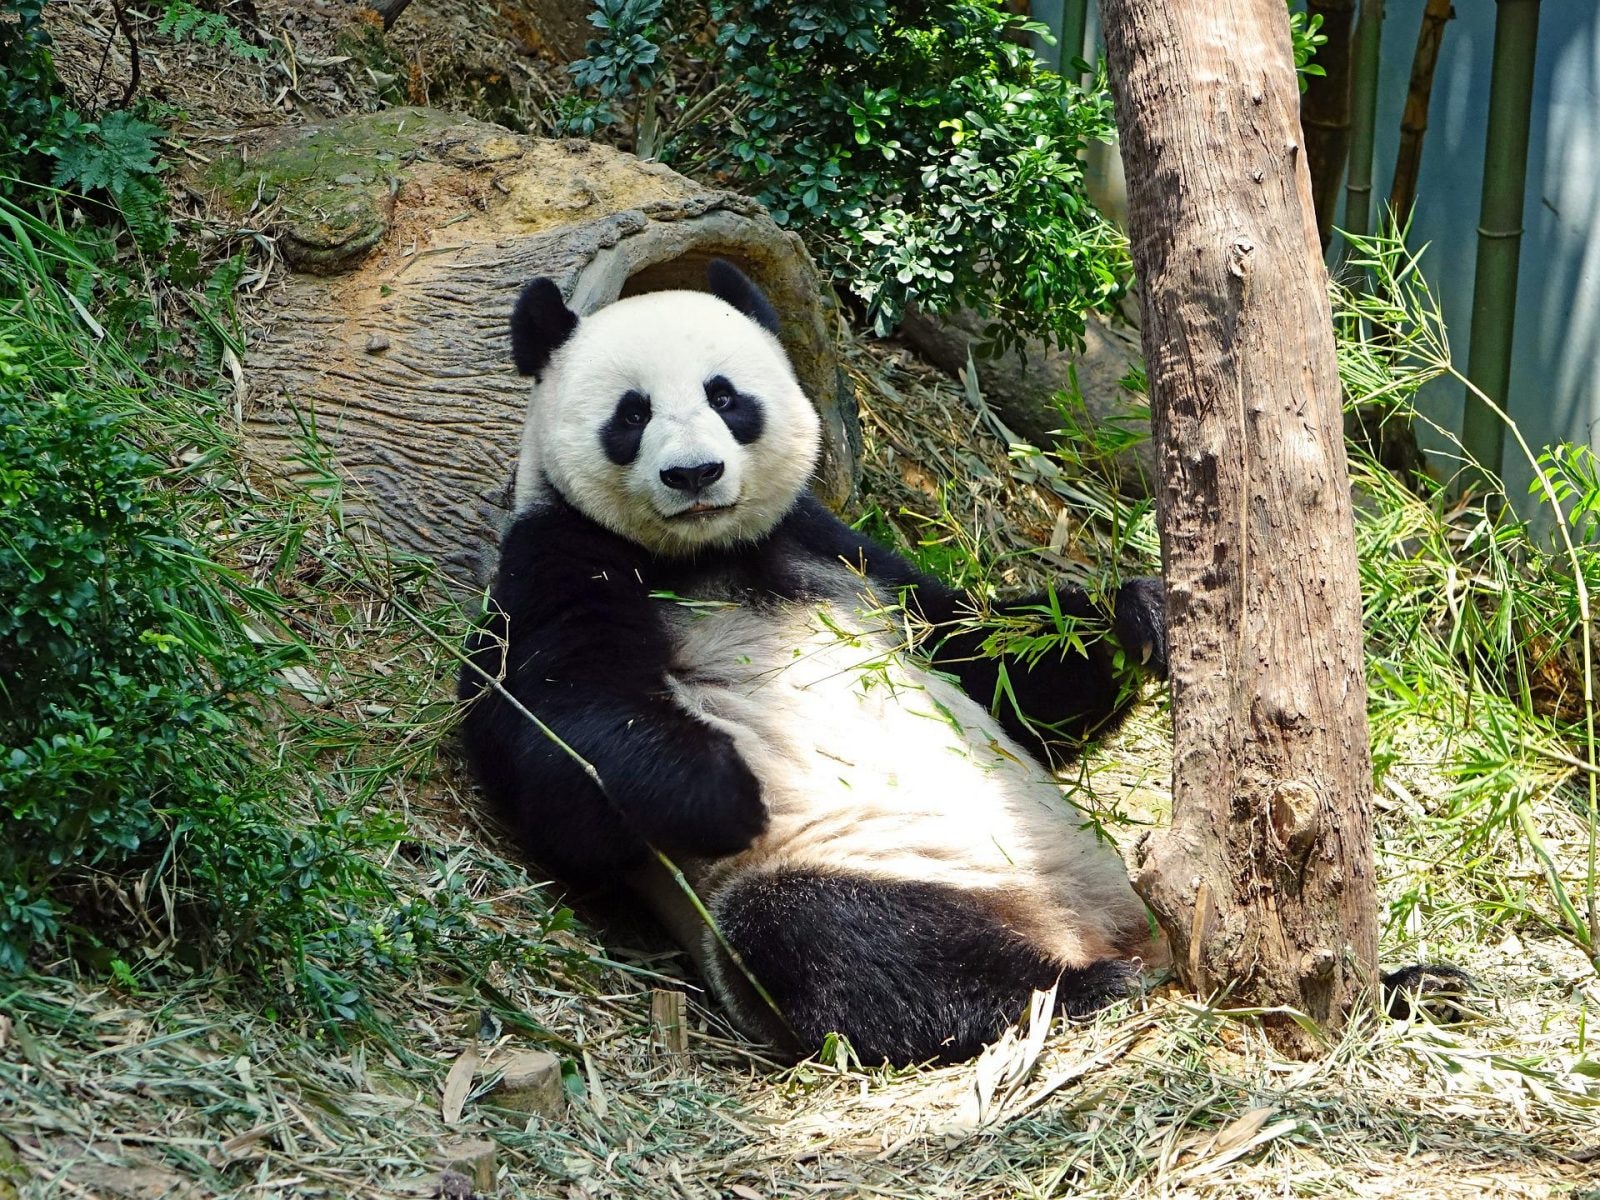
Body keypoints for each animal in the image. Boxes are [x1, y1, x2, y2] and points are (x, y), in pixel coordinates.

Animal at [457, 259, 1174, 1067]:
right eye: (631, 414)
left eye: (725, 397)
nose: (694, 474)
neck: (705, 554)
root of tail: (1074, 922)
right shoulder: (556, 559)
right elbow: (552, 739)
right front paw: (723, 791)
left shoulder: (836, 550)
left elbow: (989, 664)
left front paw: (1138, 616)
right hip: (855, 865)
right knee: (845, 942)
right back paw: (1076, 987)